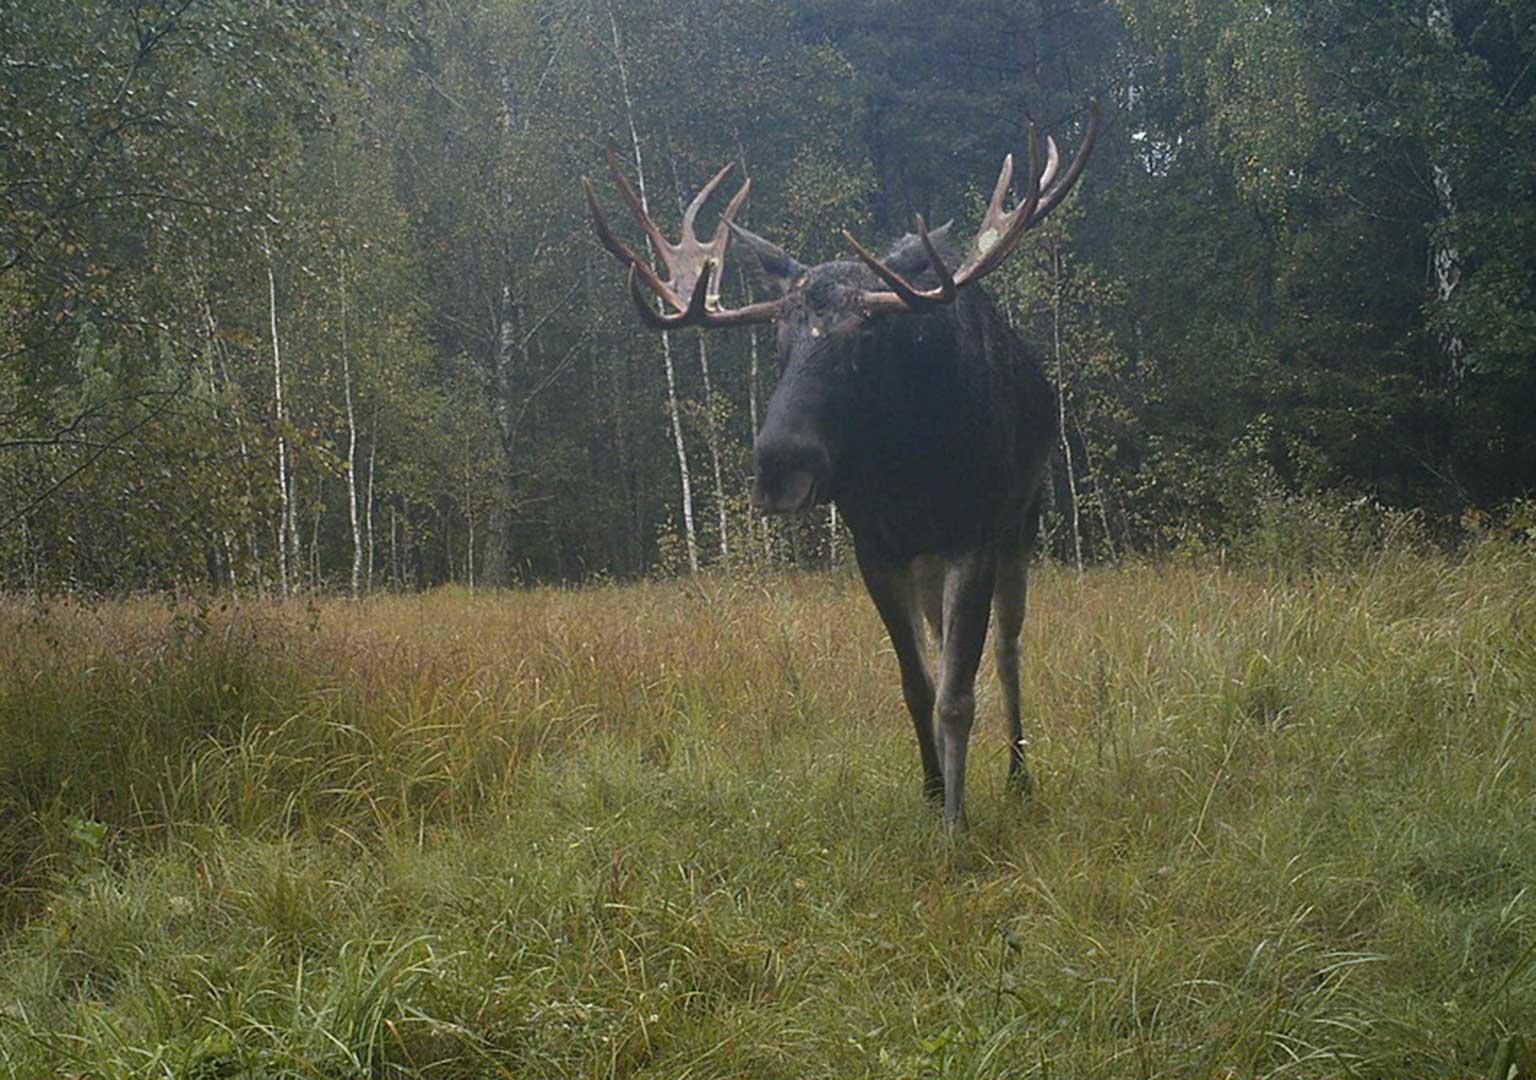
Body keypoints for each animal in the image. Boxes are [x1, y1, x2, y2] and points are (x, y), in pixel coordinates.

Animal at [586, 103, 1105, 829]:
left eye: (869, 334)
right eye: (776, 338)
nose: (780, 465)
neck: (907, 473)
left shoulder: (974, 534)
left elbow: (958, 694)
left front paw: (957, 824)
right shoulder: (876, 547)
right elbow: (918, 684)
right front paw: (933, 792)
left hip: (1022, 520)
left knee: (1007, 651)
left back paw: (1020, 775)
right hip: (929, 558)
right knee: (946, 645)